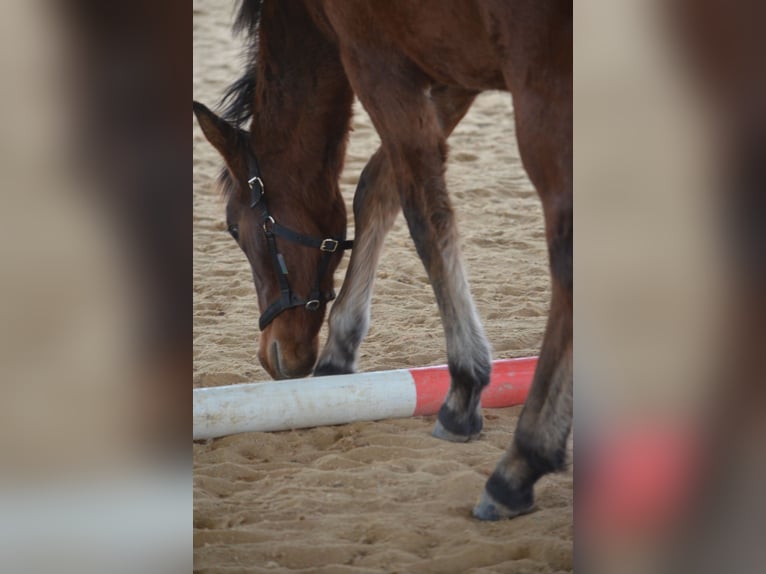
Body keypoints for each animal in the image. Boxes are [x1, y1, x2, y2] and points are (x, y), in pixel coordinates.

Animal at [193, 0, 572, 521]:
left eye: (233, 227)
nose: (274, 355)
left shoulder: (377, 64)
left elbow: (425, 212)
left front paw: (464, 391)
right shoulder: (453, 71)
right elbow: (376, 183)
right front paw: (339, 347)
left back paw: (521, 462)